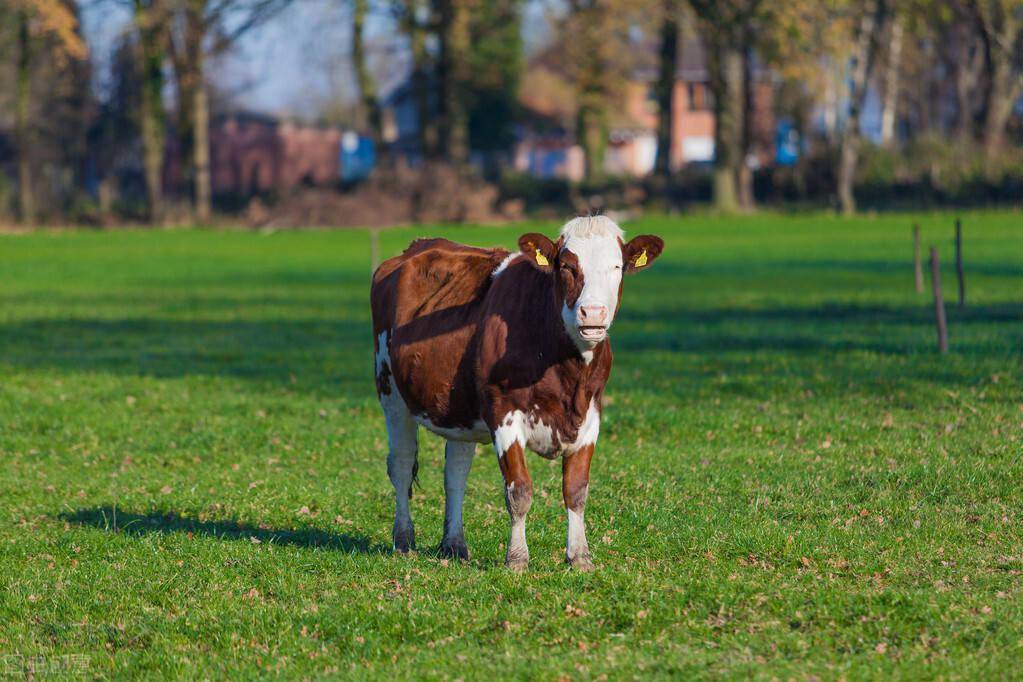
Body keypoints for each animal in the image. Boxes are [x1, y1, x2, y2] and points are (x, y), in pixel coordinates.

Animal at [370, 214, 662, 572]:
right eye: (567, 266)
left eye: (617, 266)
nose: (593, 314)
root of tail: (417, 246)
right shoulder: (503, 412)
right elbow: (519, 491)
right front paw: (517, 559)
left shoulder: (591, 414)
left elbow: (576, 490)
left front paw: (580, 557)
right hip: (391, 392)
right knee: (400, 463)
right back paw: (403, 540)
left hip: (458, 407)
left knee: (455, 472)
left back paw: (454, 545)